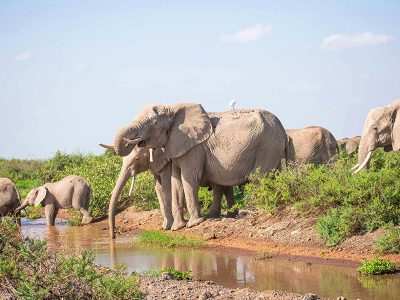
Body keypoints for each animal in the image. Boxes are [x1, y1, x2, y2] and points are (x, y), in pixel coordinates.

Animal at [111, 103, 290, 230]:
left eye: (152, 122)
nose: (133, 140)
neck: (173, 108)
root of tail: (282, 128)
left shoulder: (194, 148)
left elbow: (189, 178)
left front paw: (193, 224)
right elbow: (176, 181)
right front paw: (177, 227)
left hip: (267, 145)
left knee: (258, 178)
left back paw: (250, 213)